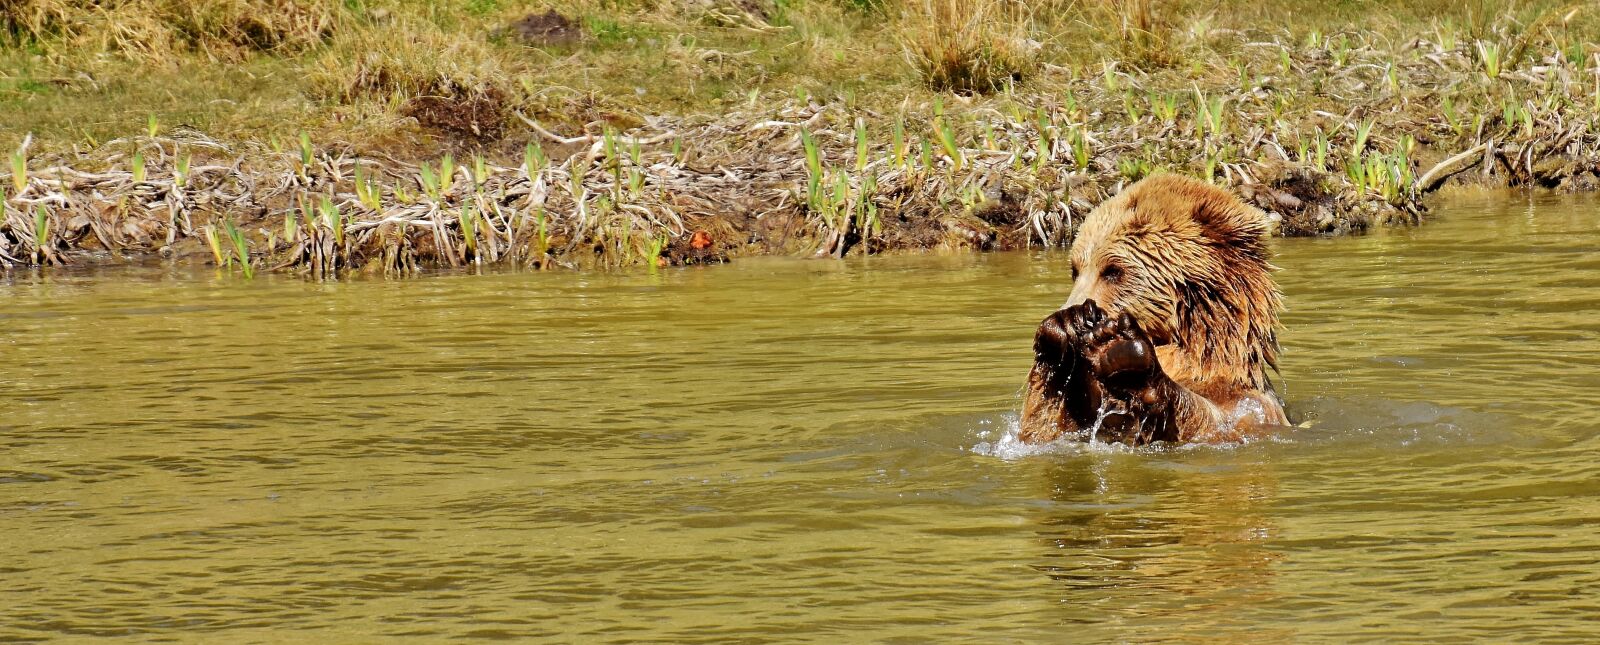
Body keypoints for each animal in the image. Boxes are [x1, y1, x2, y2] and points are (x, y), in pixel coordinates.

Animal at [1020, 174, 1287, 445]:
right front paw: (1064, 327)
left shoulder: (1251, 407)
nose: (1077, 306)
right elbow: (1042, 431)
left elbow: (1215, 421)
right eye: (1075, 270)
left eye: (1113, 271)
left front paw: (1122, 354)